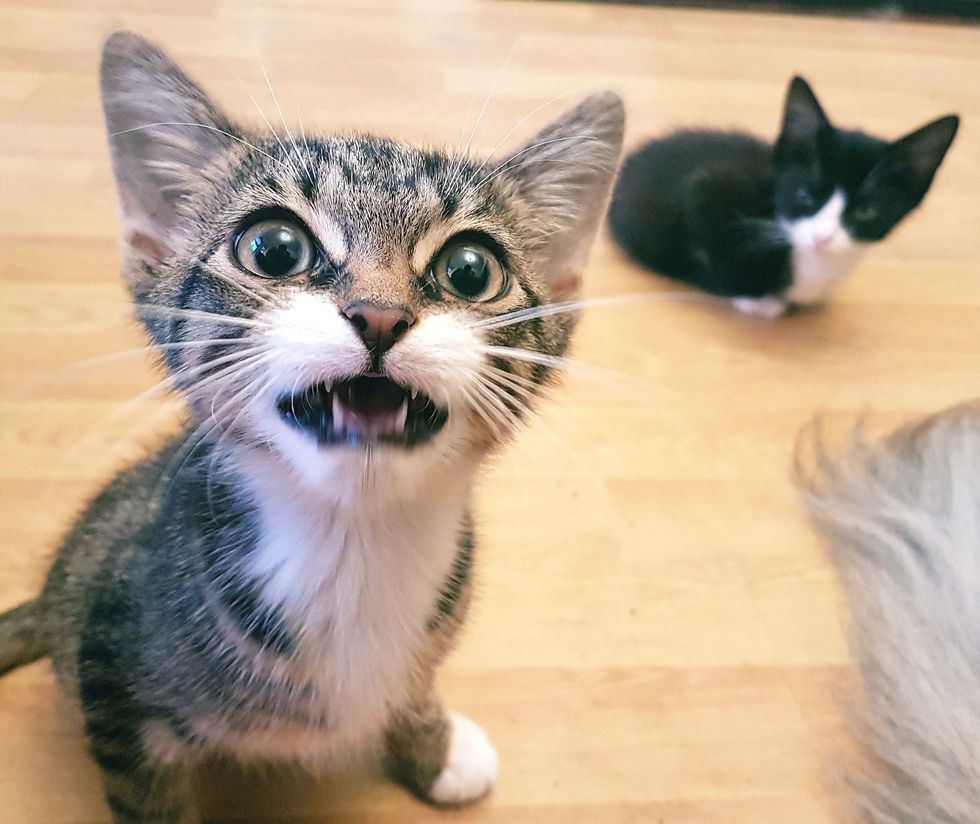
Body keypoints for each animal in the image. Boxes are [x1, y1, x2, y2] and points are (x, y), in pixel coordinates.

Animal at [0, 32, 624, 823]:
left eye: (471, 269)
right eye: (273, 249)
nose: (379, 315)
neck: (354, 544)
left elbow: (412, 684)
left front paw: (433, 744)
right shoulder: (114, 676)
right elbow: (148, 795)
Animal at [607, 76, 959, 317]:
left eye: (867, 210)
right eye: (804, 194)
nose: (822, 238)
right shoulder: (705, 188)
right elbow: (719, 250)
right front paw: (758, 299)